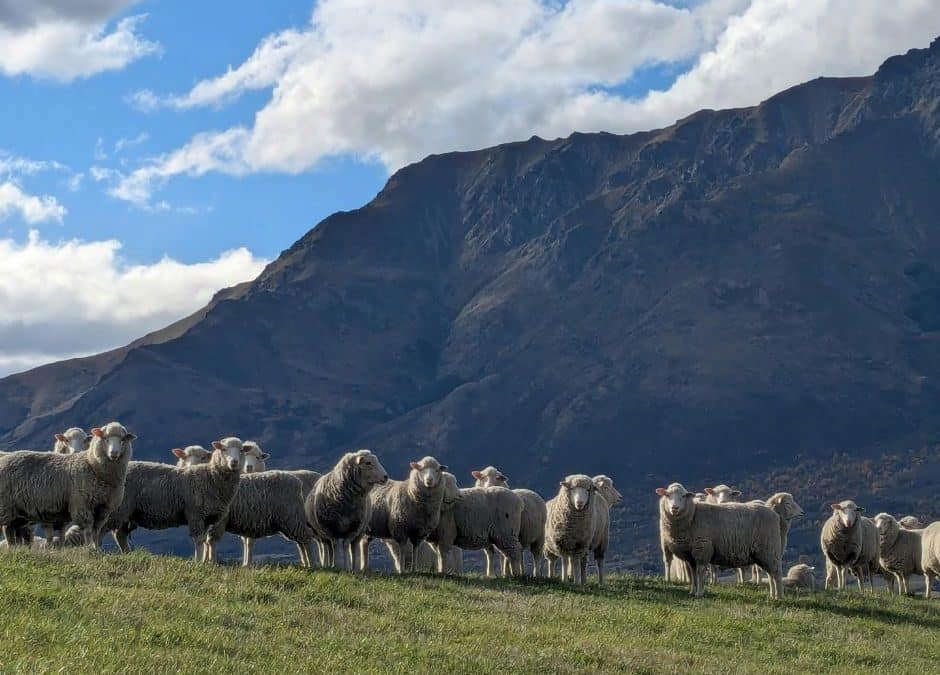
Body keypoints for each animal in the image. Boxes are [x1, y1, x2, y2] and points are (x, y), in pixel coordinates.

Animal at [0, 421, 136, 548]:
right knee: (8, 531)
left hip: (20, 514)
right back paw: (11, 548)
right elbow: (87, 531)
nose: (114, 453)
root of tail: (5, 459)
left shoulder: (104, 509)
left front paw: (97, 548)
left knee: (14, 530)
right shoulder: (81, 506)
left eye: (122, 440)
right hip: (7, 507)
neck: (92, 464)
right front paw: (89, 549)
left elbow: (96, 531)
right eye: (106, 439)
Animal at [106, 437, 246, 563]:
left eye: (241, 450)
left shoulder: (206, 518)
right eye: (224, 449)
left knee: (120, 534)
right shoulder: (195, 514)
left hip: (127, 513)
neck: (209, 477)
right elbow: (199, 540)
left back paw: (127, 553)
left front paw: (204, 562)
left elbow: (204, 540)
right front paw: (198, 562)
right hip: (119, 508)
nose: (234, 462)